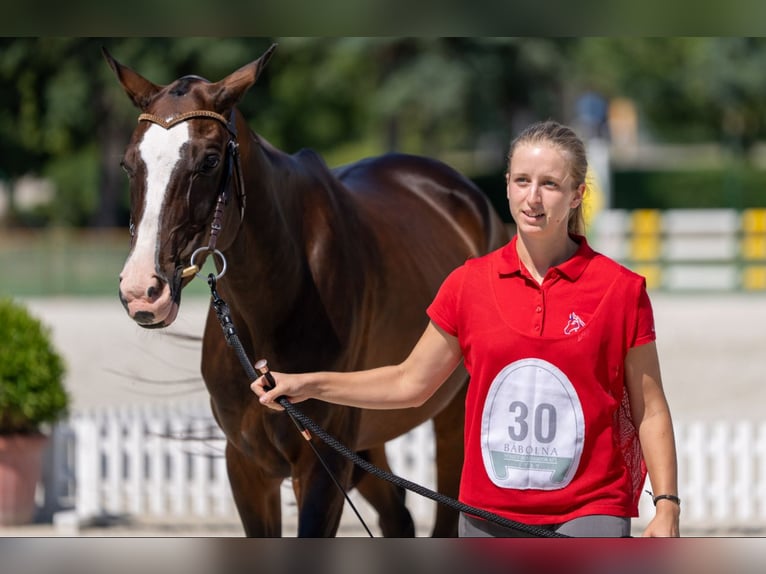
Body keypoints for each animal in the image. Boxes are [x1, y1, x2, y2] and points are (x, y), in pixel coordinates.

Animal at [103, 45, 510, 540]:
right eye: (128, 163)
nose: (143, 290)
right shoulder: (247, 467)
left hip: (449, 424)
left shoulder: (322, 466)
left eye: (210, 161)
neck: (273, 307)